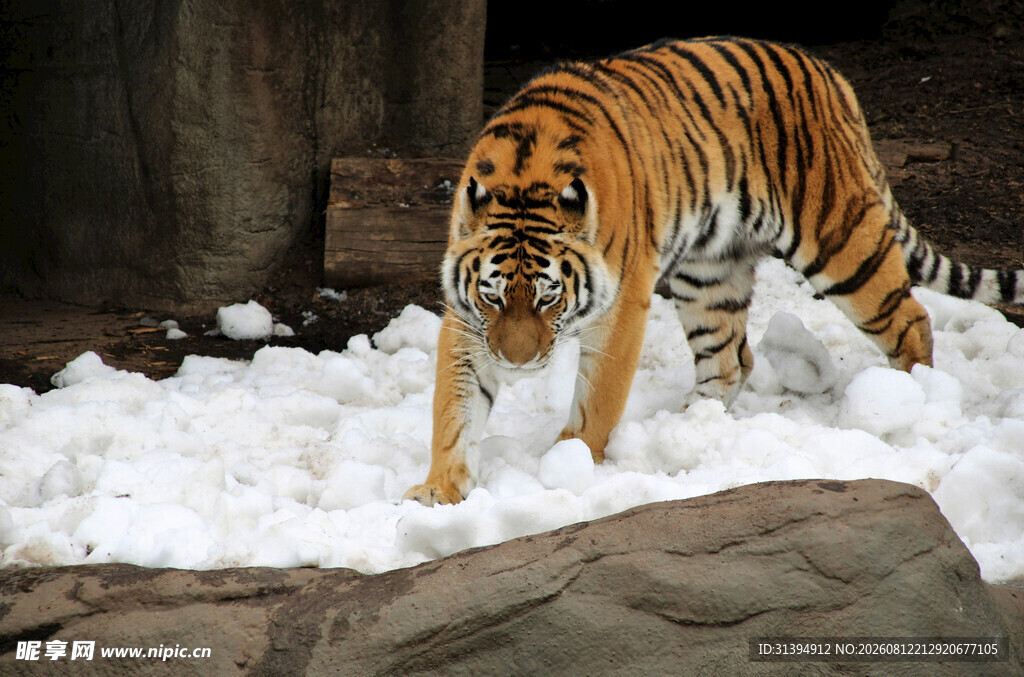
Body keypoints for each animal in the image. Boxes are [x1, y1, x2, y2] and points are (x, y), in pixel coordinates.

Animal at [404, 36, 1024, 506]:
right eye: (494, 298)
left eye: (549, 298)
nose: (518, 363)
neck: (524, 172)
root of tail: (830, 75)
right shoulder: (467, 319)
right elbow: (455, 407)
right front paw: (438, 491)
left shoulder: (621, 303)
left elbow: (598, 398)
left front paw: (568, 461)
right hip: (708, 272)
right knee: (730, 360)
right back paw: (687, 429)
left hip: (840, 242)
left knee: (911, 319)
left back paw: (915, 395)